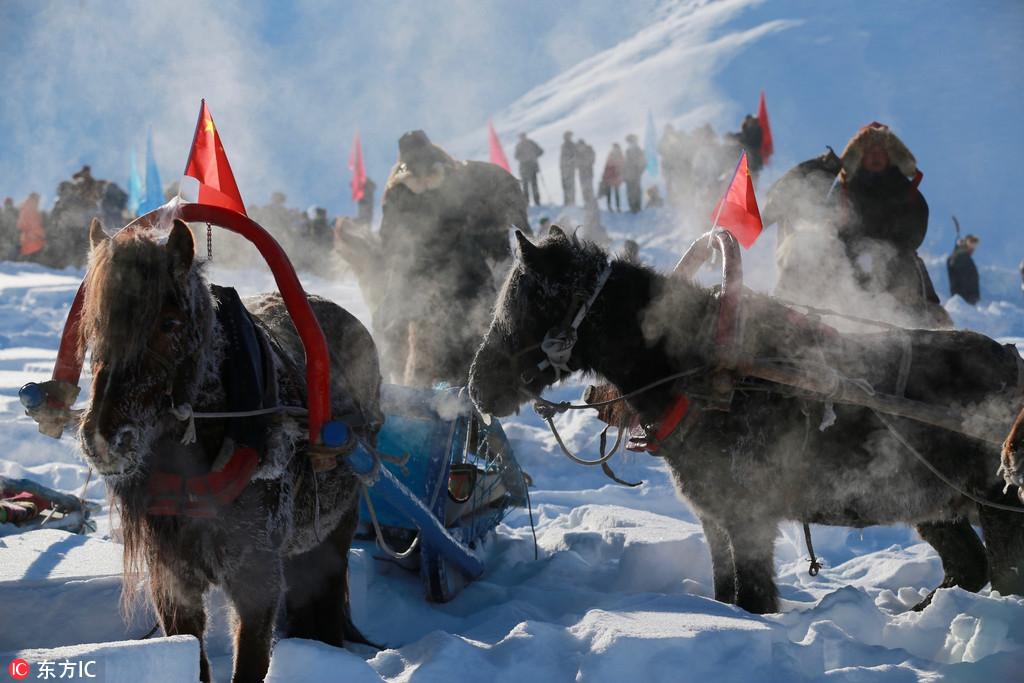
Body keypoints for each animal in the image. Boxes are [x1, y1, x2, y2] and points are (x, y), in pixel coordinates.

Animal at [78, 220, 385, 683]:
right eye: (93, 326)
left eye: (169, 322)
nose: (103, 438)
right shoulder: (173, 582)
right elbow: (193, 655)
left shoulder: (256, 581)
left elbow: (251, 660)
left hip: (334, 532)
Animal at [468, 229, 1024, 614]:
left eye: (531, 301)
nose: (476, 385)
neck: (702, 371)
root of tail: (1011, 364)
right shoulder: (715, 520)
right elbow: (726, 593)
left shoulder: (749, 520)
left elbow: (754, 599)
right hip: (937, 507)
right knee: (967, 568)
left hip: (998, 508)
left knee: (1001, 577)